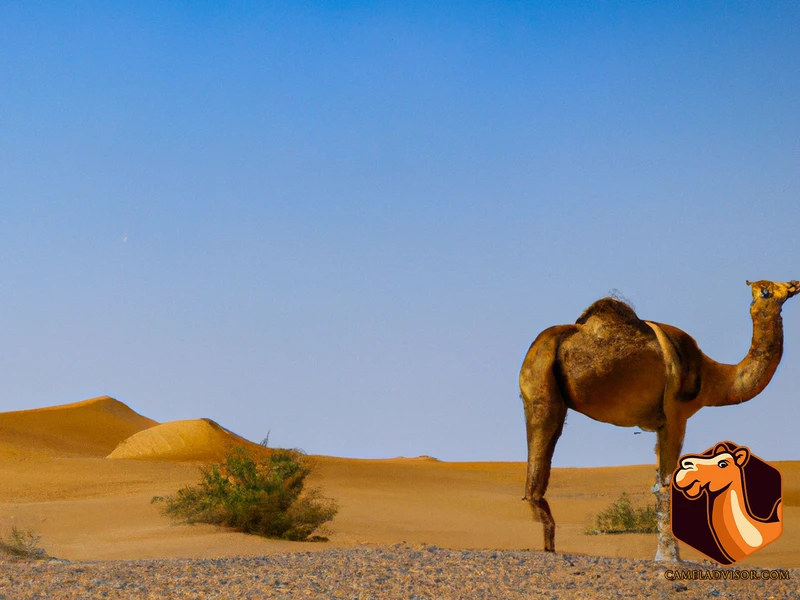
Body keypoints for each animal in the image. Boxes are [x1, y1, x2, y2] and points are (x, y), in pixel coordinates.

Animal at [520, 278, 796, 560]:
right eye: (765, 291)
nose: (794, 285)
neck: (713, 377)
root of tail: (538, 345)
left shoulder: (659, 425)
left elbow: (658, 483)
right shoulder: (676, 415)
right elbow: (668, 484)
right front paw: (671, 558)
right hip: (544, 389)